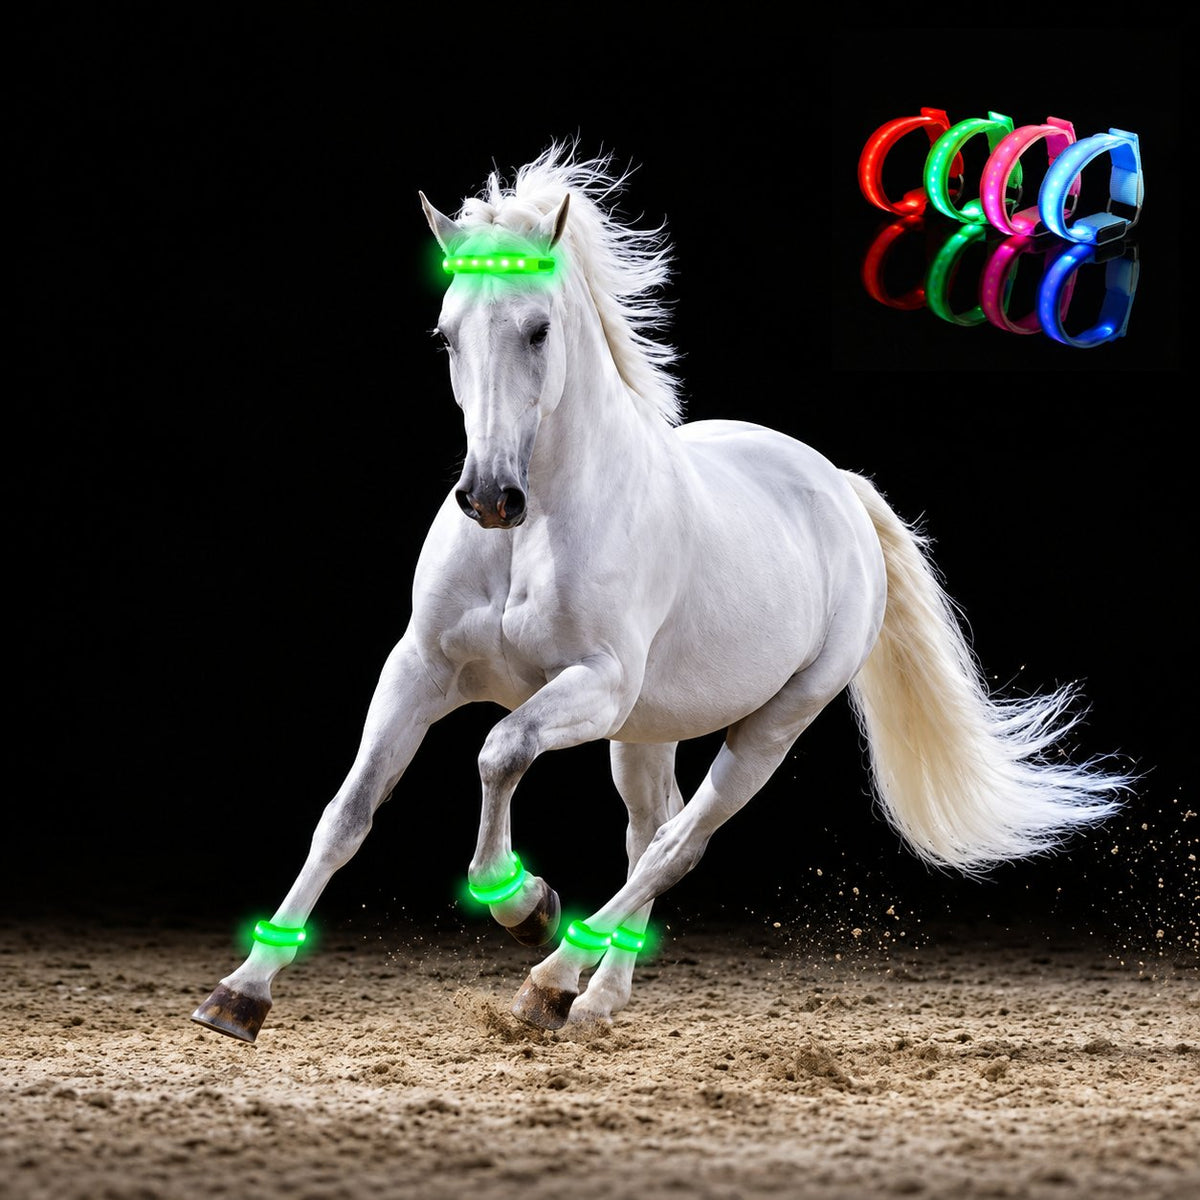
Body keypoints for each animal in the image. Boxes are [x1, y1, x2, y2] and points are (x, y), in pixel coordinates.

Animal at [191, 144, 1129, 1042]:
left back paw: (551, 978)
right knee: (651, 832)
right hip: (646, 732)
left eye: (538, 329)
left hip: (770, 724)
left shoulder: (596, 685)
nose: (490, 497)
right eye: (445, 334)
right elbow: (348, 813)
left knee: (677, 844)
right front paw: (240, 995)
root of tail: (839, 489)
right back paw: (593, 1000)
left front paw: (524, 905)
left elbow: (498, 751)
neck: (532, 534)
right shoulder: (420, 669)